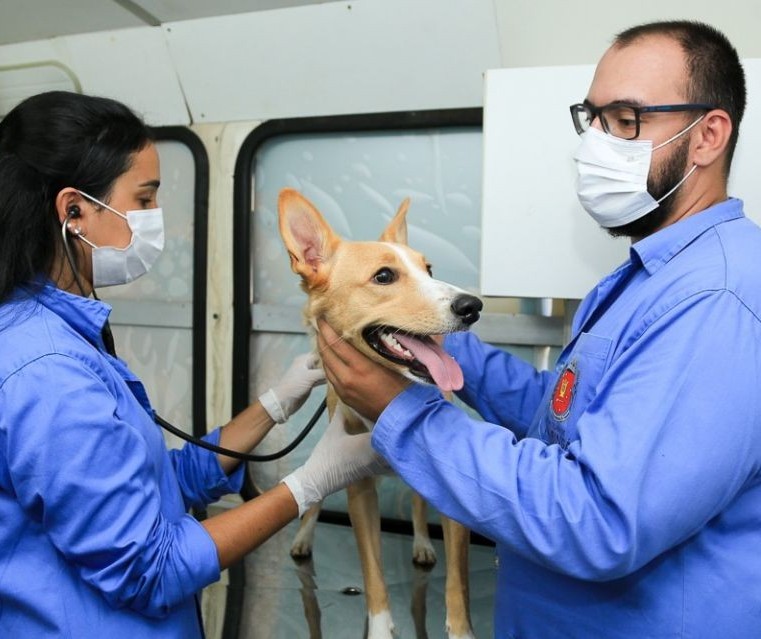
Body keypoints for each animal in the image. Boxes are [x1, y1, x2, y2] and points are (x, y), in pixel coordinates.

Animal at [278, 189, 480, 639]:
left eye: (429, 269)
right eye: (384, 277)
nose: (473, 306)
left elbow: (458, 584)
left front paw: (461, 629)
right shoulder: (359, 491)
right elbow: (373, 577)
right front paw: (381, 627)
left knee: (419, 505)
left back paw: (421, 543)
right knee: (314, 499)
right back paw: (303, 538)